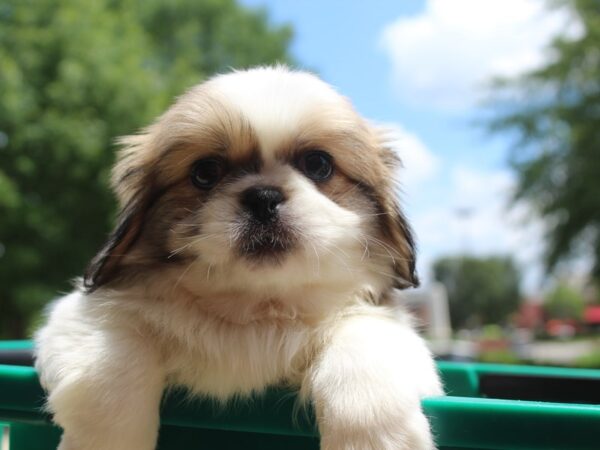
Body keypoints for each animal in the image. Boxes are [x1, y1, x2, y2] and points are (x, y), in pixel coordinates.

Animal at [35, 67, 442, 450]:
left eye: (318, 165)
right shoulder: (81, 316)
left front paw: (370, 436)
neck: (254, 308)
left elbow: (362, 348)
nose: (263, 196)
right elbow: (114, 364)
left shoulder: (376, 319)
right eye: (205, 172)